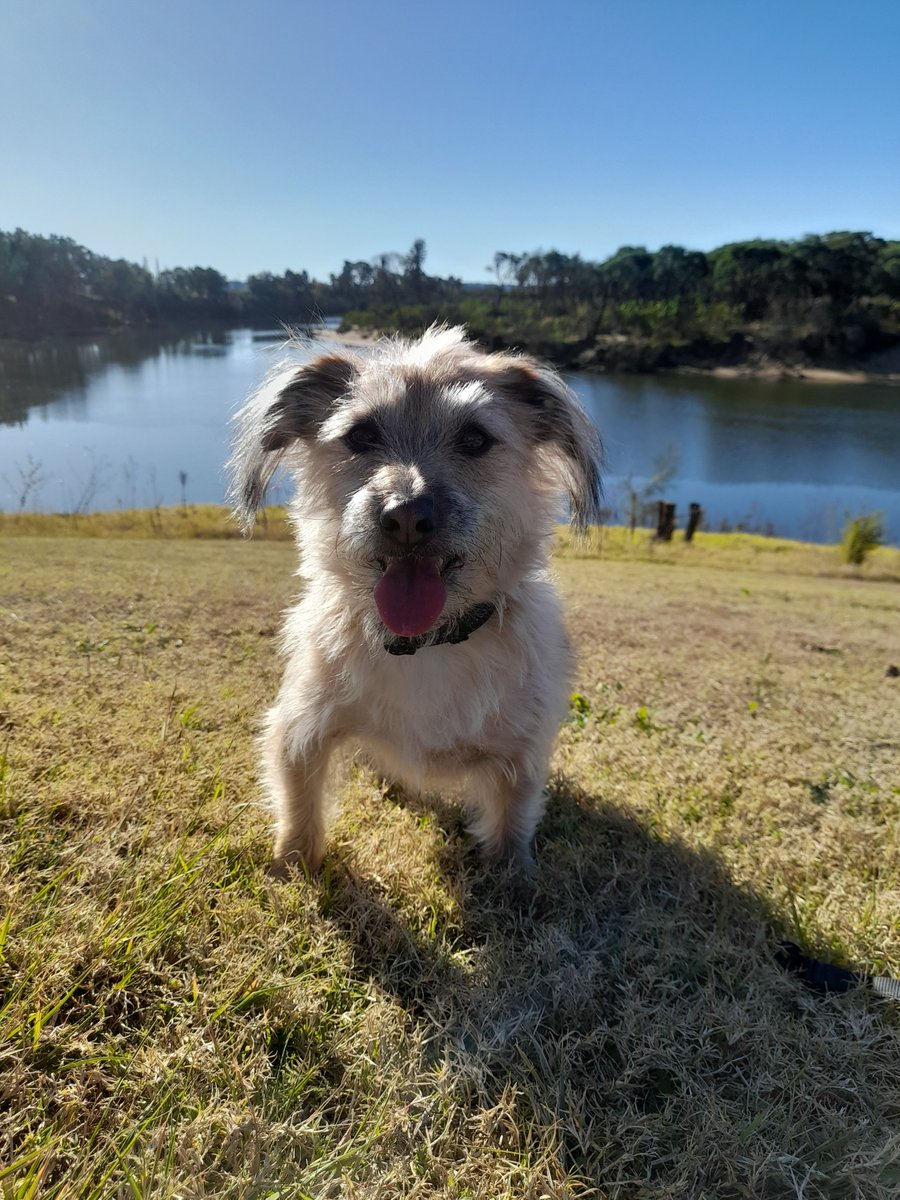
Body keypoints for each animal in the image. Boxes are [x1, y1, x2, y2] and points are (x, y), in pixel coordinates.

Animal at [229, 324, 602, 878]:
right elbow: (299, 801)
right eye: (361, 434)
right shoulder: (301, 727)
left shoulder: (520, 752)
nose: (405, 515)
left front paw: (514, 881)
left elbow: (511, 820)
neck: (427, 644)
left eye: (475, 438)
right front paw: (292, 868)